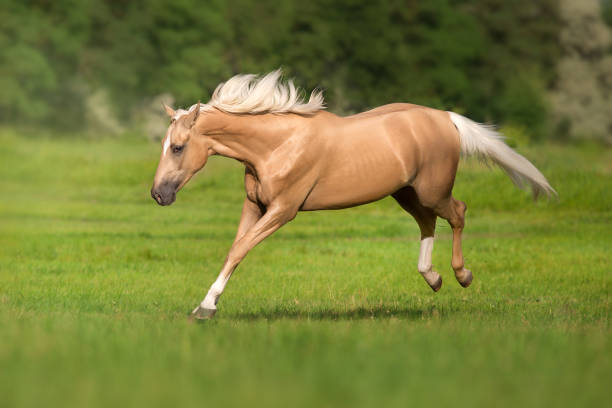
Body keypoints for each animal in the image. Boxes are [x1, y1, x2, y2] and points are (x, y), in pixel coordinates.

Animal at [149, 69, 556, 318]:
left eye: (178, 147)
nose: (158, 195)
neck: (277, 144)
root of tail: (446, 118)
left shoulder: (282, 210)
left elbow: (240, 249)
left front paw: (206, 309)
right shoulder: (255, 205)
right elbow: (234, 250)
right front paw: (206, 304)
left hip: (433, 190)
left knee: (458, 212)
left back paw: (461, 275)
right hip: (406, 193)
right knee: (428, 223)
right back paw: (432, 277)